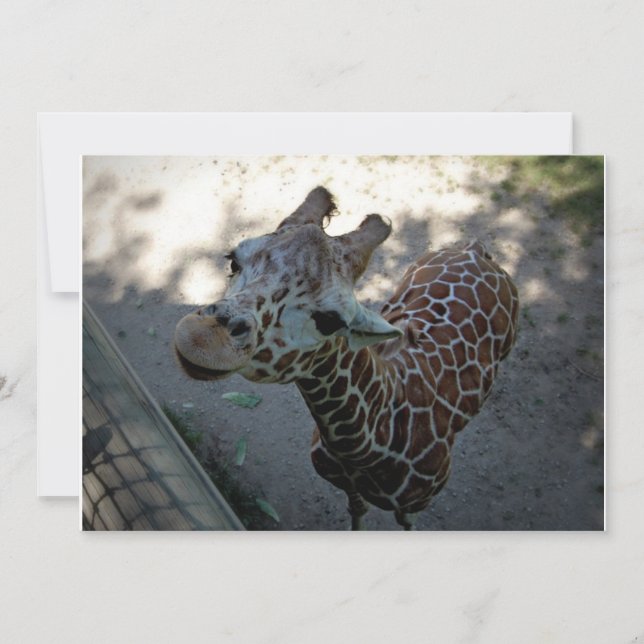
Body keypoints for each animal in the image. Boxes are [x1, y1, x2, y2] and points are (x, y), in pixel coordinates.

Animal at [174, 187, 519, 529]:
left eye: (331, 320)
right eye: (233, 261)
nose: (201, 339)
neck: (364, 453)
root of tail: (475, 250)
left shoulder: (413, 507)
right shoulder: (347, 486)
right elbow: (358, 511)